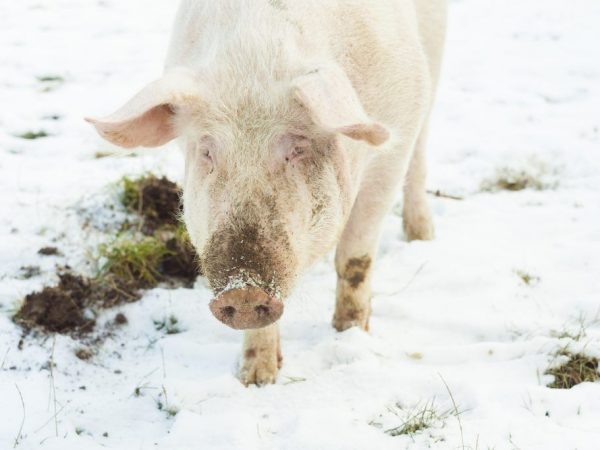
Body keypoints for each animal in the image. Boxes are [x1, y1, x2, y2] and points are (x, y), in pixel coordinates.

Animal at [85, 0, 446, 384]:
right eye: (207, 151)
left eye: (297, 148)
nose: (244, 289)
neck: (255, 54)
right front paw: (257, 378)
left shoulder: (392, 150)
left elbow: (355, 258)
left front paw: (349, 335)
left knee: (422, 146)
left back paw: (421, 235)